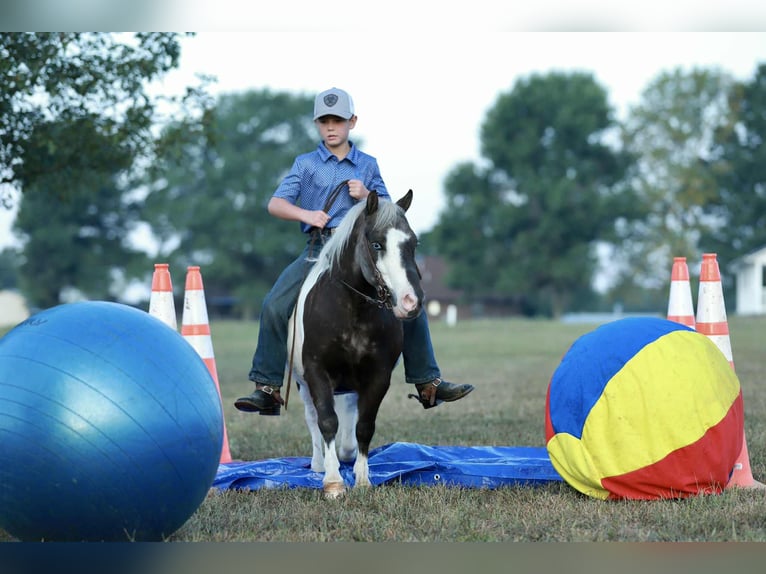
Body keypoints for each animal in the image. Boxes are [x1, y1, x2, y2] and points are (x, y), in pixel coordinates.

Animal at [286, 189, 423, 498]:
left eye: (413, 243)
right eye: (376, 244)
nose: (411, 302)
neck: (353, 311)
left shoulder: (378, 376)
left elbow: (364, 426)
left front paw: (361, 478)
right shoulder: (316, 372)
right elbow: (326, 421)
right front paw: (333, 482)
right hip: (303, 382)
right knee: (313, 417)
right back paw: (319, 464)